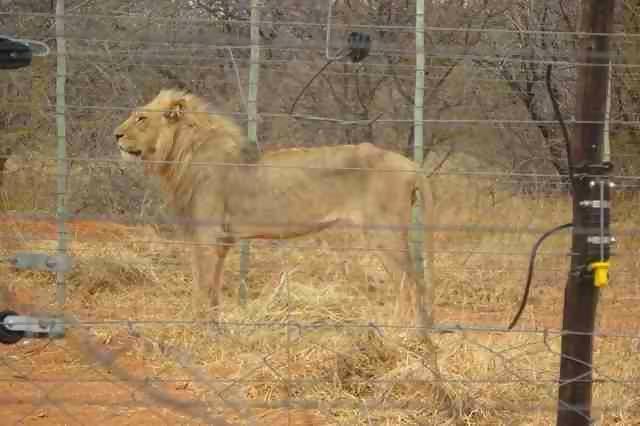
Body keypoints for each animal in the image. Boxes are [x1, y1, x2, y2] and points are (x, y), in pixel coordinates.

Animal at [112, 87, 438, 326]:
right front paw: (213, 326)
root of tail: (411, 164)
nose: (116, 135)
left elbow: (203, 285)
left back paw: (399, 331)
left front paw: (200, 330)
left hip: (385, 234)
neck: (182, 153)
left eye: (141, 118)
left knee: (410, 285)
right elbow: (212, 286)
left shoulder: (207, 234)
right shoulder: (221, 240)